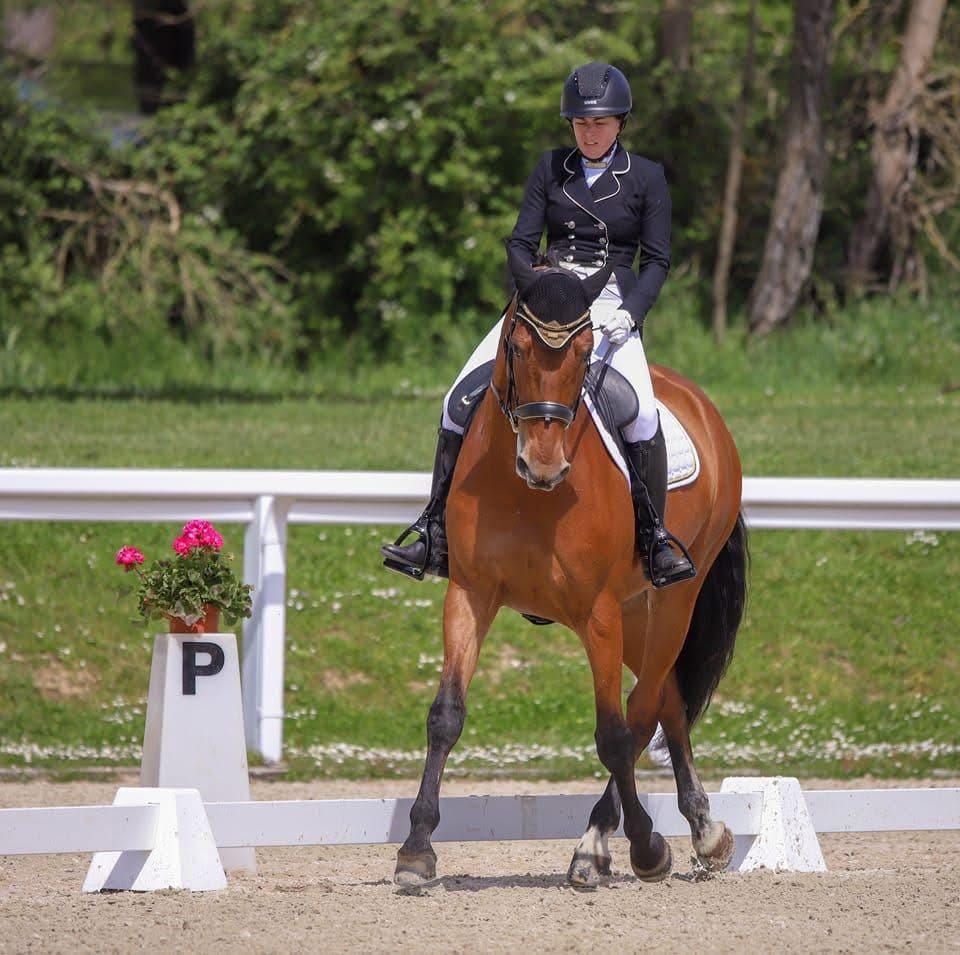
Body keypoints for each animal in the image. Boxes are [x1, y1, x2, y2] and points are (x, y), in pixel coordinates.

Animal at [394, 262, 748, 888]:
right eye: (516, 346)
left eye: (585, 354)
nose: (544, 465)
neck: (527, 496)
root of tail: (701, 404)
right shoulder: (470, 594)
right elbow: (445, 715)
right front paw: (416, 848)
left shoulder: (598, 612)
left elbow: (613, 733)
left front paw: (644, 848)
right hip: (636, 612)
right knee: (668, 697)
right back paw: (705, 831)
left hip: (669, 604)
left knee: (644, 705)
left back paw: (601, 843)